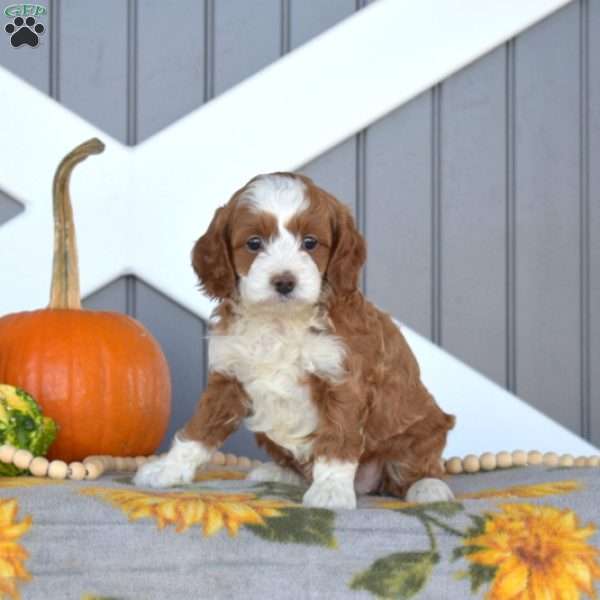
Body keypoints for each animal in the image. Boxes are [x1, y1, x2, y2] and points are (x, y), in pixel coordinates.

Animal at [135, 171, 454, 508]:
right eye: (254, 243)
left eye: (310, 242)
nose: (284, 282)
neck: (280, 320)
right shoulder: (228, 378)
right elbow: (199, 428)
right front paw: (167, 470)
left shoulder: (343, 380)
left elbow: (338, 438)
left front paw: (330, 490)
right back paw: (276, 473)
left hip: (422, 432)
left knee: (415, 469)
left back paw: (428, 488)